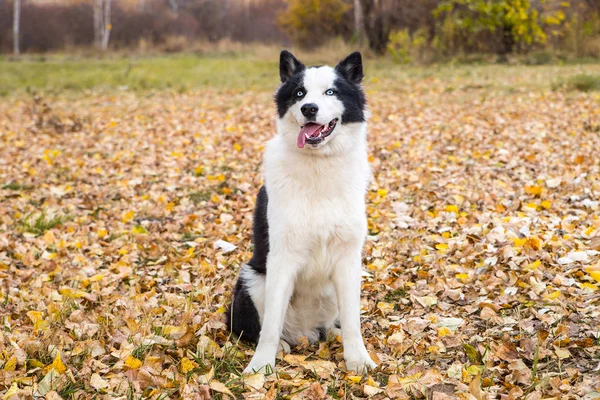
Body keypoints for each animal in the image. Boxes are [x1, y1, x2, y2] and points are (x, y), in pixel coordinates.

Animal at [226, 50, 376, 376]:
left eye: (330, 92)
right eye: (299, 93)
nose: (309, 108)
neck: (318, 165)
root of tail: (305, 333)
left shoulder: (348, 260)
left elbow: (352, 322)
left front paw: (358, 360)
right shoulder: (281, 259)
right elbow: (269, 327)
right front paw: (260, 367)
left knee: (333, 324)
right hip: (252, 278)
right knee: (253, 328)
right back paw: (282, 346)